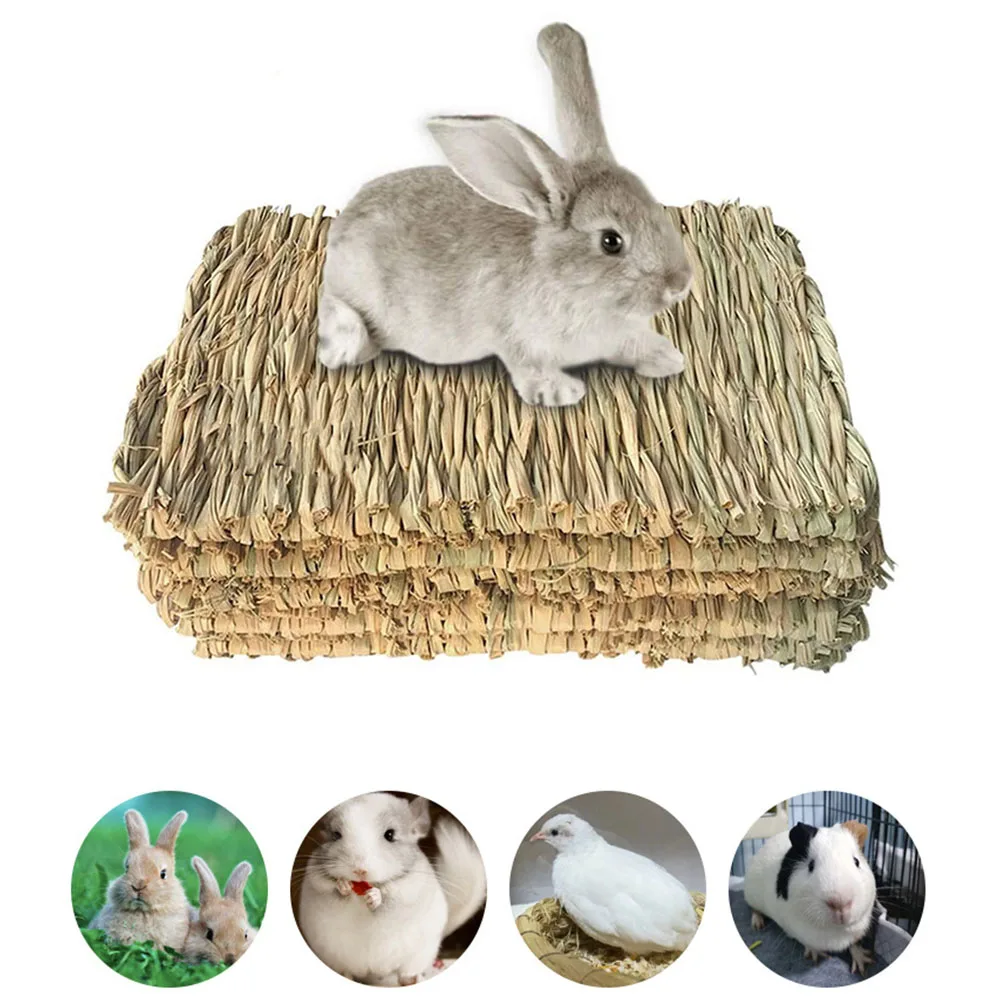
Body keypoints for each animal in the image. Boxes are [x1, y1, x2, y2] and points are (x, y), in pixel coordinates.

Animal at [296, 793, 486, 986]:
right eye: (336, 835)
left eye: (390, 835)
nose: (359, 870)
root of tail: (374, 971)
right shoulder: (316, 879)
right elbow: (330, 889)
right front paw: (343, 885)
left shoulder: (410, 888)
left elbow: (391, 896)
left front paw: (375, 896)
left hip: (419, 954)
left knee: (406, 973)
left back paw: (413, 979)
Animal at [316, 22, 693, 407]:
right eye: (611, 241)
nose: (680, 284)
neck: (566, 282)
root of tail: (344, 221)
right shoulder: (518, 340)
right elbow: (528, 366)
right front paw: (560, 391)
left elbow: (634, 344)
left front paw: (667, 357)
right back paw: (344, 347)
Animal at [744, 821, 878, 976]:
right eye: (811, 865)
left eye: (856, 862)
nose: (840, 904)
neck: (836, 931)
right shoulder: (795, 930)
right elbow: (809, 943)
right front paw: (817, 957)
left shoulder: (859, 929)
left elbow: (855, 944)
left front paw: (864, 965)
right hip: (751, 896)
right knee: (754, 910)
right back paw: (758, 925)